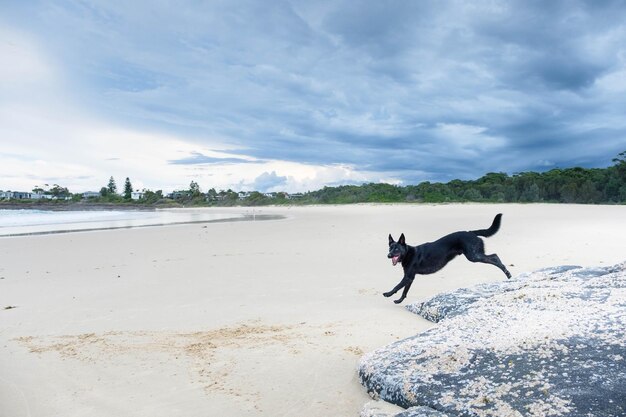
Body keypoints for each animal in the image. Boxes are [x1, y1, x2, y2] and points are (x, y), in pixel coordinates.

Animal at [382, 213, 510, 304]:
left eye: (396, 249)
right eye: (390, 248)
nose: (388, 255)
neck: (408, 253)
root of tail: (472, 233)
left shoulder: (408, 277)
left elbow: (397, 286)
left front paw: (388, 293)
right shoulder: (410, 278)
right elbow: (404, 291)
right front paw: (399, 301)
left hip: (474, 256)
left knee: (495, 257)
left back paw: (507, 273)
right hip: (475, 255)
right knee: (494, 256)